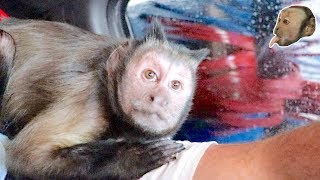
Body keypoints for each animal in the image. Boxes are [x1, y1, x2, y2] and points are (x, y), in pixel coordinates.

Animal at [0, 18, 210, 179]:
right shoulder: (90, 100)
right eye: (150, 75)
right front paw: (132, 157)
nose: (159, 99)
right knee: (6, 42)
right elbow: (27, 157)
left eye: (175, 85)